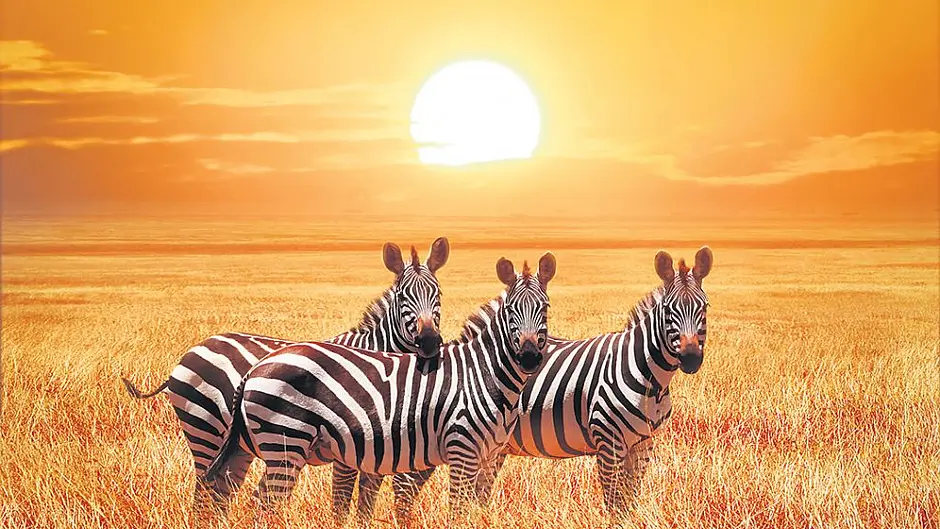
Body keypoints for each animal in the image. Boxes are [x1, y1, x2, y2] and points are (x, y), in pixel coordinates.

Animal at [119, 237, 450, 511]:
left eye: (438, 294)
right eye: (402, 297)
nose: (429, 342)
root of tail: (192, 350)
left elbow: (366, 500)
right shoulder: (350, 445)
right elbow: (342, 500)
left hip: (236, 445)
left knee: (220, 494)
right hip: (205, 430)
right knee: (203, 493)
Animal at [203, 252, 557, 524]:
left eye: (545, 307)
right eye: (511, 310)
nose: (529, 357)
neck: (483, 373)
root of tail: (256, 367)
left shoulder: (488, 455)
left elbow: (477, 509)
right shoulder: (462, 449)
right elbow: (457, 511)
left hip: (258, 446)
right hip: (285, 442)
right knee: (266, 501)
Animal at [387, 247, 713, 525]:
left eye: (705, 307)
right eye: (670, 310)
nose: (691, 359)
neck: (650, 380)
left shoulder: (644, 443)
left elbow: (629, 501)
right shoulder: (609, 440)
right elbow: (614, 503)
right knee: (405, 486)